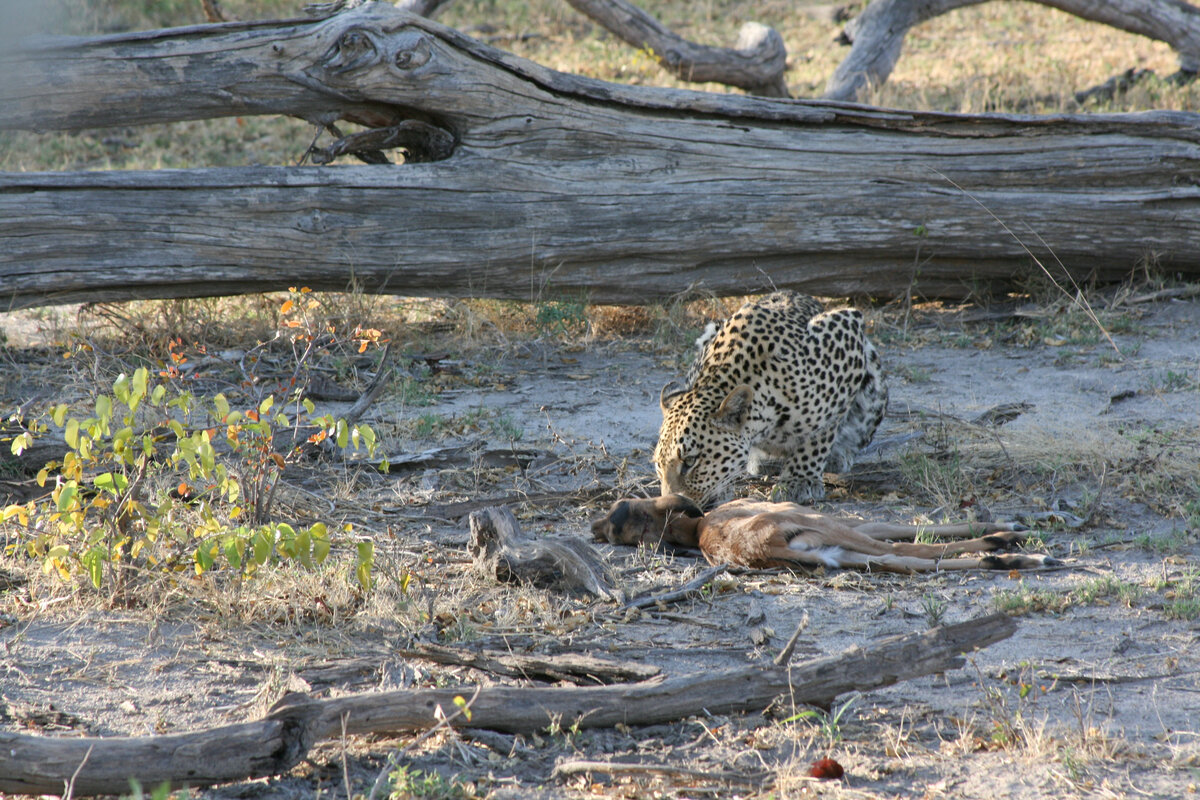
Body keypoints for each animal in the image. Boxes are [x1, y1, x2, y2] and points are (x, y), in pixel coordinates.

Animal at [652, 292, 888, 506]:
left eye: (690, 461)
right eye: (658, 466)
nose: (671, 502)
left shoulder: (847, 329)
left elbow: (821, 433)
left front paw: (798, 480)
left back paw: (837, 456)